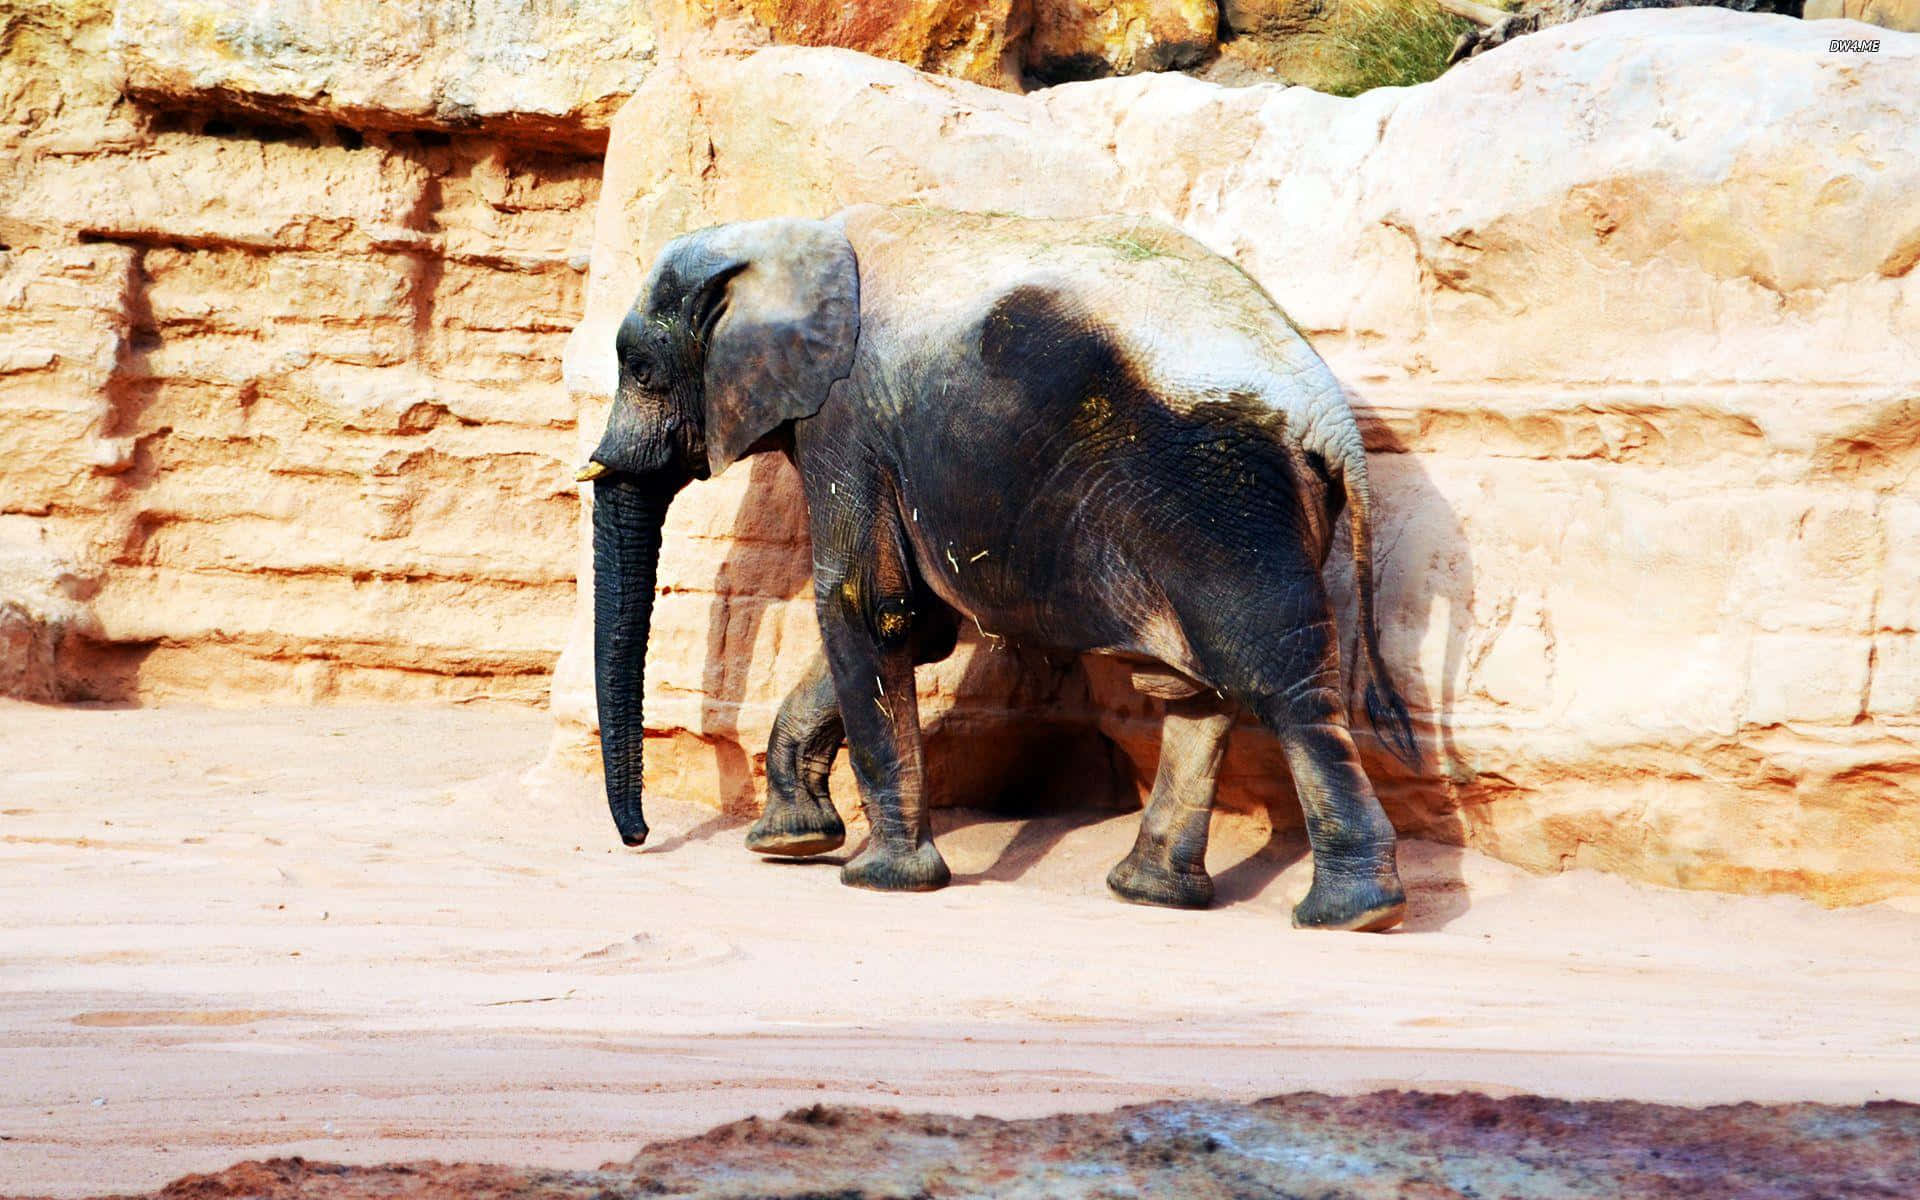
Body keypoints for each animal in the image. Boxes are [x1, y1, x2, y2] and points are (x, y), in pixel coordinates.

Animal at [576, 204, 1417, 932]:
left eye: (641, 369)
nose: (638, 840)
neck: (793, 234)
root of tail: (1334, 422)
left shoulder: (847, 418)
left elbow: (867, 605)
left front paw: (877, 879)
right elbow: (916, 621)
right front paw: (790, 842)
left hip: (1227, 498)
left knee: (1280, 684)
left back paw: (1353, 914)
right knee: (1196, 687)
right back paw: (1151, 893)